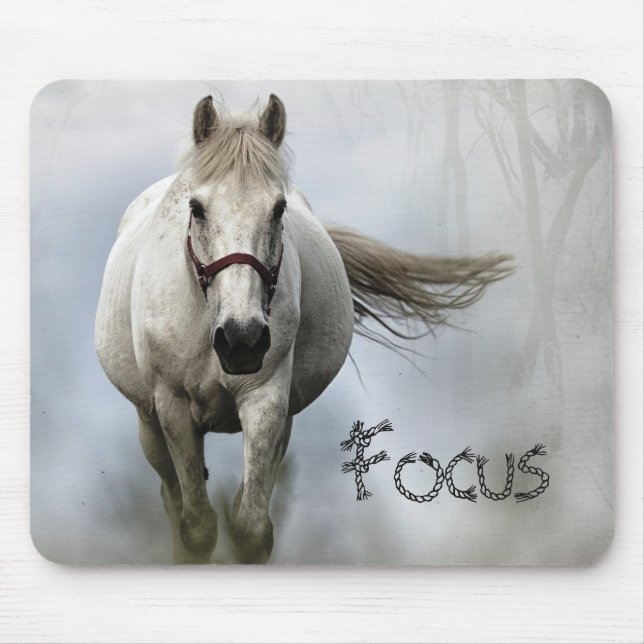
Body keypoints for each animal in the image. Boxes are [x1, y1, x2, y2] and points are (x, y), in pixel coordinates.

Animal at [95, 94, 512, 564]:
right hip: (149, 424)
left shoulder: (267, 401)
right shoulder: (173, 407)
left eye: (278, 209)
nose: (241, 340)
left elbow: (251, 528)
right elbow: (197, 528)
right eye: (196, 208)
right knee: (173, 497)